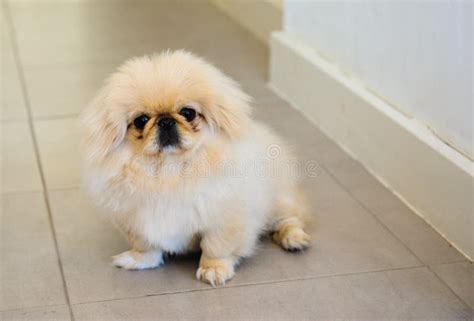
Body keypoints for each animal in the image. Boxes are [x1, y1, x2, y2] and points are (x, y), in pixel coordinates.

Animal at [80, 50, 312, 284]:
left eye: (188, 113)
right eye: (141, 120)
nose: (165, 121)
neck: (168, 172)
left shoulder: (224, 218)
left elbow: (216, 247)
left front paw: (214, 269)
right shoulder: (135, 221)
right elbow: (146, 247)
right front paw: (138, 260)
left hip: (279, 201)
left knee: (291, 218)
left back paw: (293, 239)